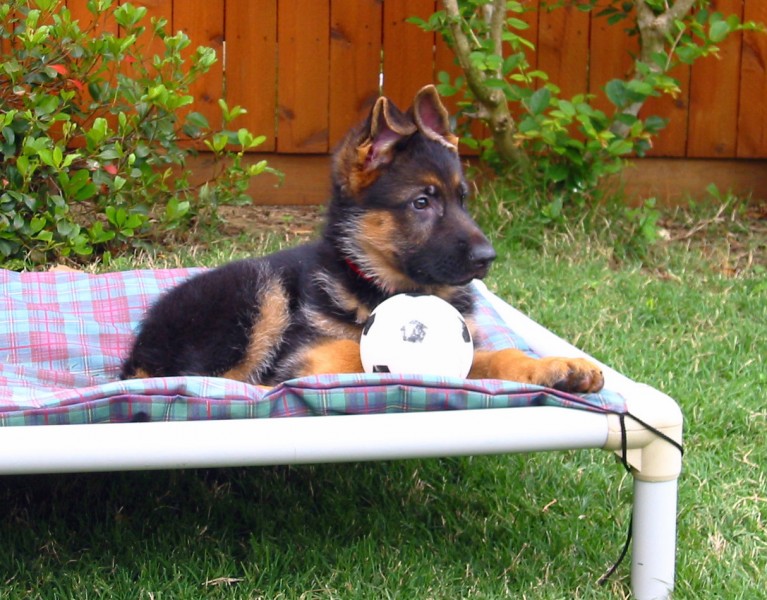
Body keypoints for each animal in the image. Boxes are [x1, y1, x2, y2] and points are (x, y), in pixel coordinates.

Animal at [123, 84, 608, 394]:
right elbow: (356, 353)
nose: (488, 258)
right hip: (258, 295)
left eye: (463, 199)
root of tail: (135, 357)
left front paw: (555, 367)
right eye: (421, 203)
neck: (380, 282)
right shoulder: (309, 355)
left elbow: (493, 357)